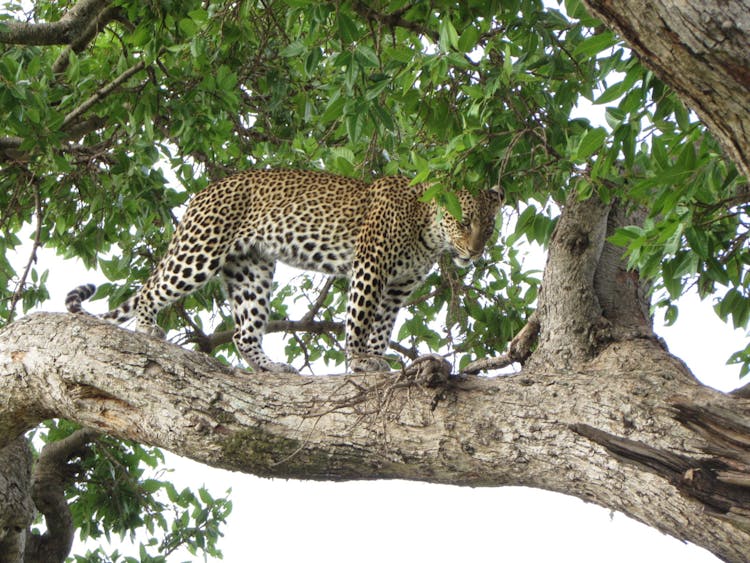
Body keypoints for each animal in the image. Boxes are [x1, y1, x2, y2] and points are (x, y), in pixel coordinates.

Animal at [67, 170, 506, 376]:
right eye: (464, 221)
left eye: (489, 227)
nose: (475, 251)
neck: (428, 232)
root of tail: (202, 192)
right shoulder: (370, 267)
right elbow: (360, 319)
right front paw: (359, 360)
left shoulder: (397, 288)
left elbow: (381, 327)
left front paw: (376, 358)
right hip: (200, 252)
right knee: (151, 289)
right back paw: (147, 327)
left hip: (250, 269)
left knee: (244, 333)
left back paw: (269, 366)